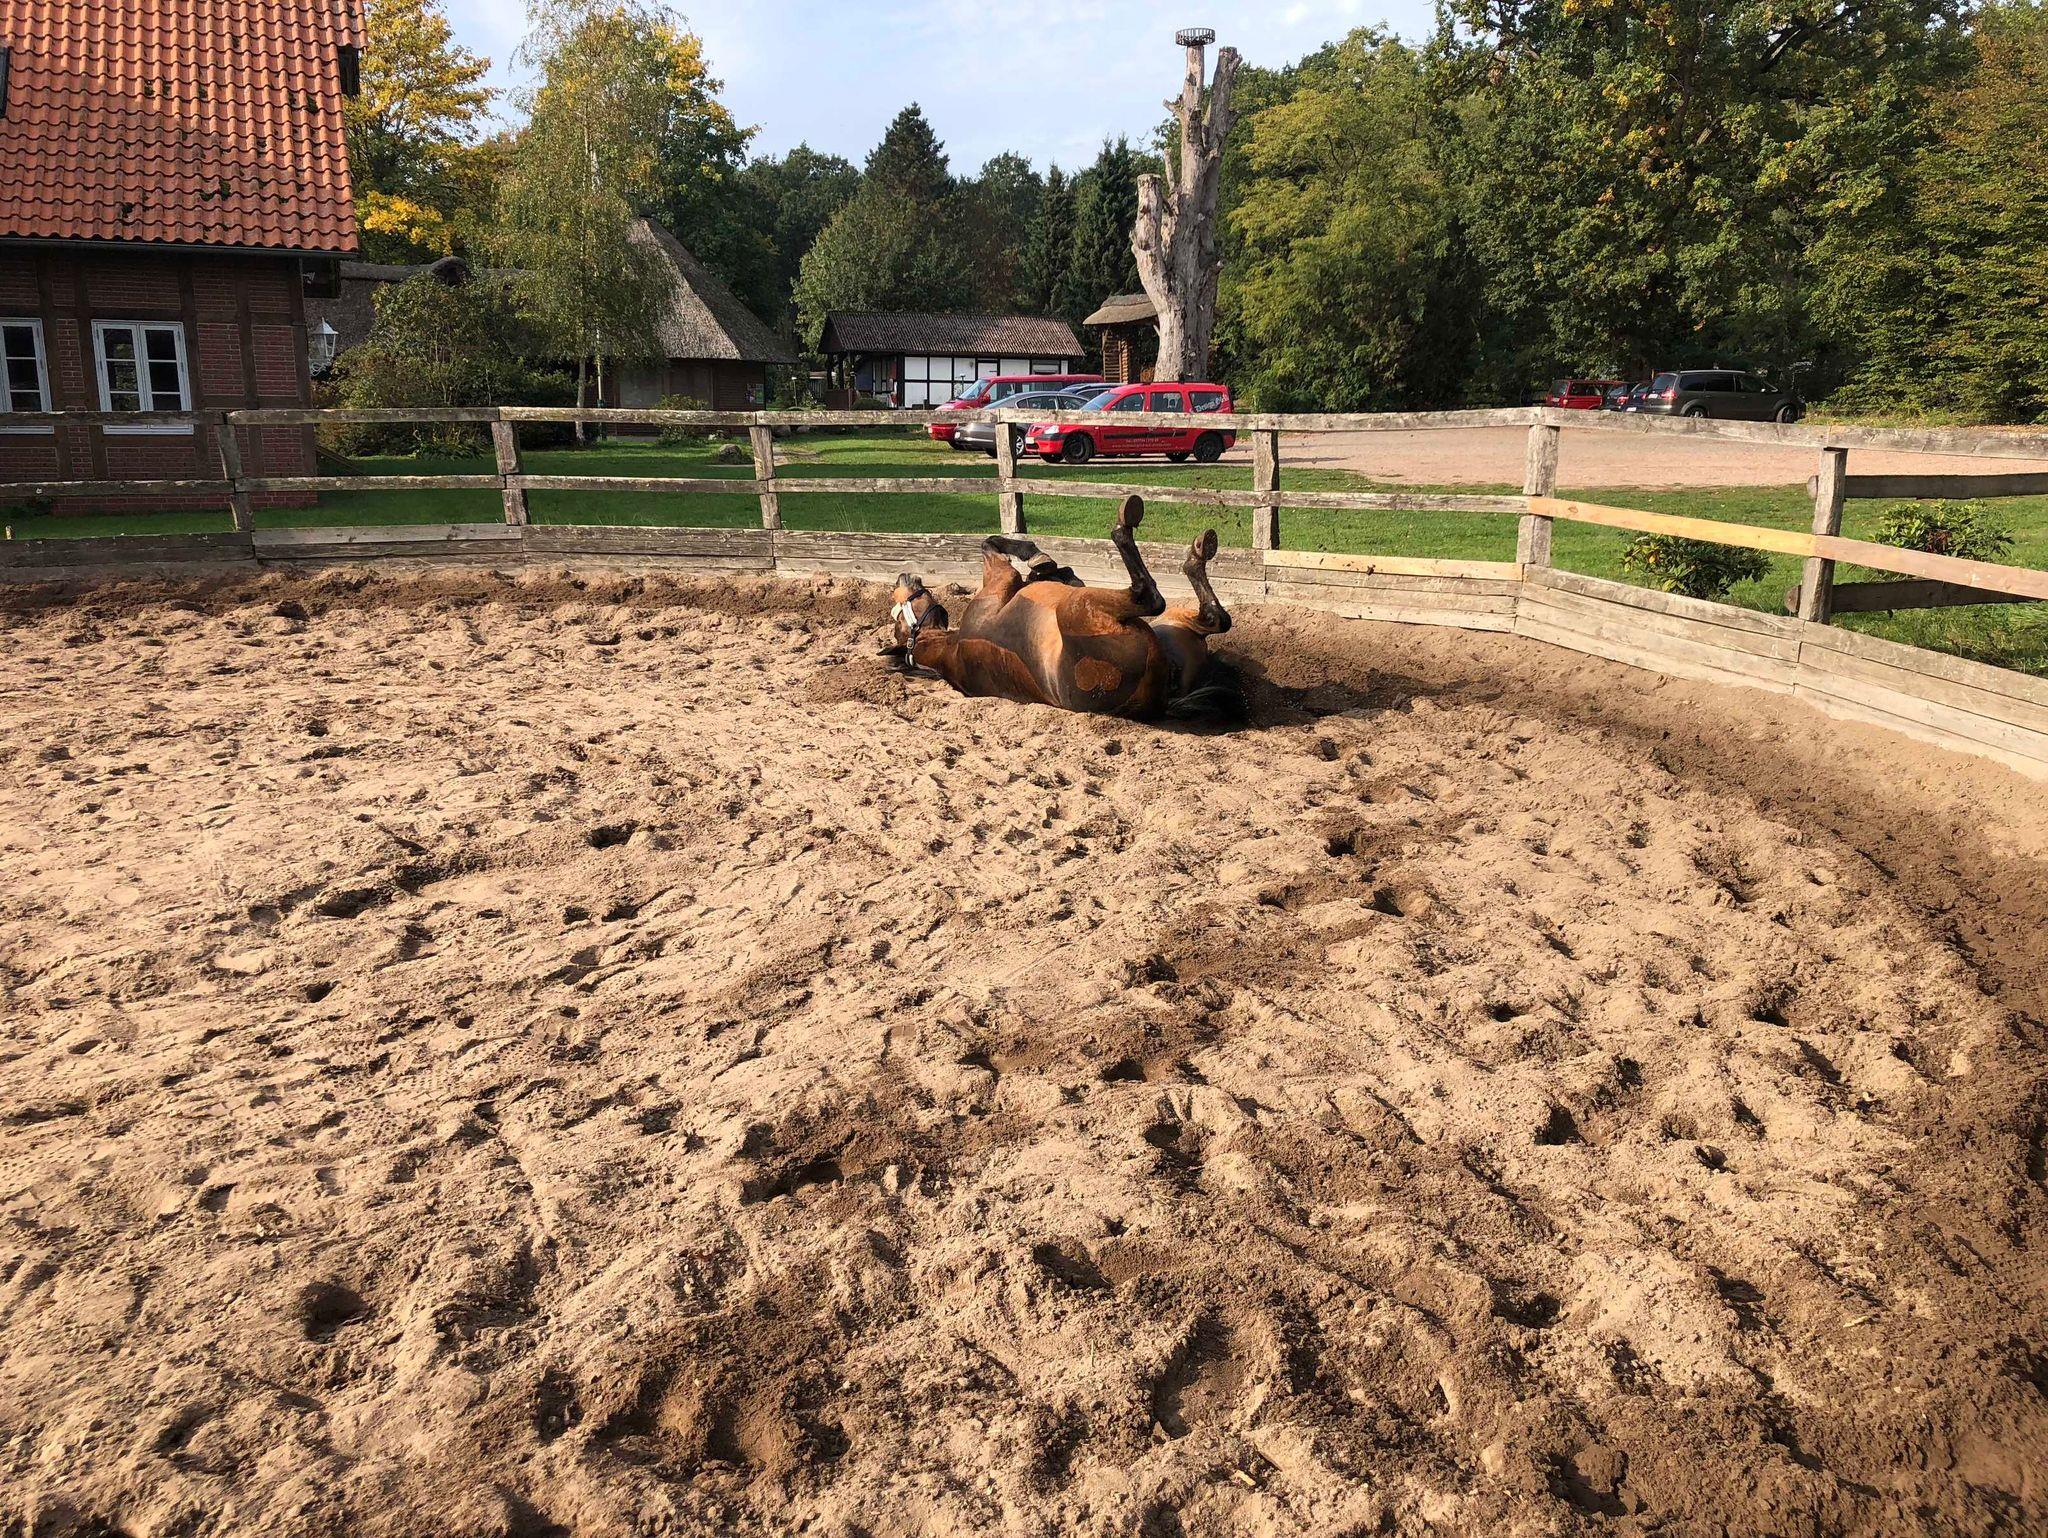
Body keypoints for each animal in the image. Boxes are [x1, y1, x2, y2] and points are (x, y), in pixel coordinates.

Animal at [882, 495, 1241, 720]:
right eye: (899, 623)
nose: (902, 577)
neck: (951, 647)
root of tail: (1160, 700)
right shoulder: (1001, 578)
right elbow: (990, 542)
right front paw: (1038, 558)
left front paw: (1043, 565)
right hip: (1083, 606)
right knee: (1152, 597)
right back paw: (1133, 526)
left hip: (1169, 623)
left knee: (1213, 619)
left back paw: (1199, 551)